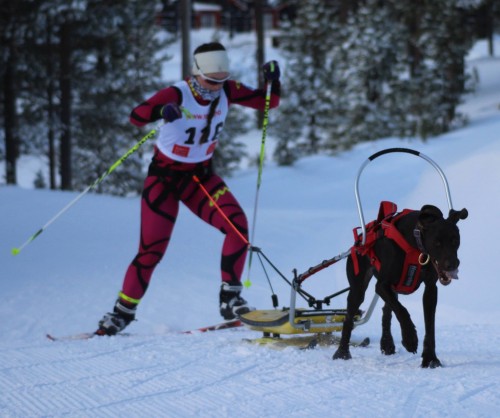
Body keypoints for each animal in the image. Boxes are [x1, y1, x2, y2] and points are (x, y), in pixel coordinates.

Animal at [334, 204, 466, 368]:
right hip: (358, 288)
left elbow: (429, 326)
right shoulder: (382, 285)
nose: (452, 265)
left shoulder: (430, 289)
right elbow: (402, 311)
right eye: (437, 243)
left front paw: (430, 358)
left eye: (455, 241)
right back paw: (342, 352)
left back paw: (387, 343)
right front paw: (410, 338)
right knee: (349, 318)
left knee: (387, 310)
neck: (414, 241)